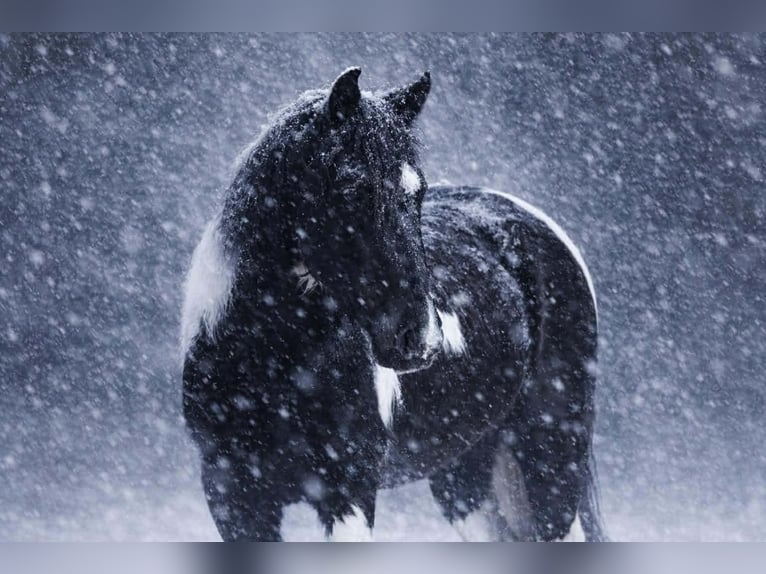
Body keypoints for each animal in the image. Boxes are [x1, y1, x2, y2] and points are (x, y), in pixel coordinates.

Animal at [180, 67, 606, 542]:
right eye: (349, 187)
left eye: (418, 192)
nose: (421, 339)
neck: (269, 358)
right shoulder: (234, 496)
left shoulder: (347, 491)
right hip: (465, 479)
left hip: (550, 460)